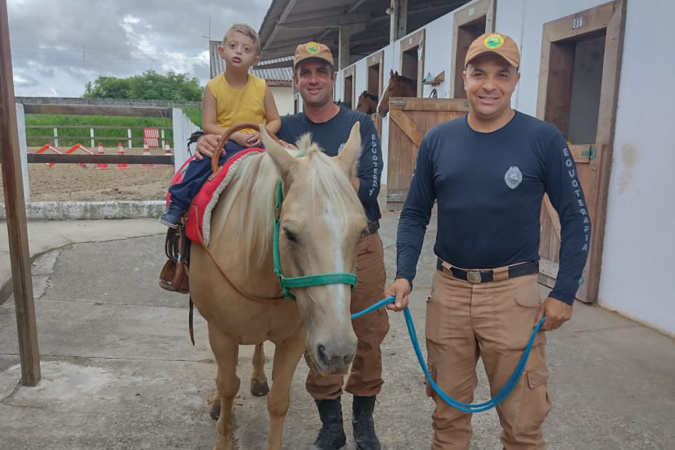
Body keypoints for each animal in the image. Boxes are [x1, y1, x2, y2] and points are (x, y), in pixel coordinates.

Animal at [190, 123, 370, 450]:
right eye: (289, 233)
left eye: (361, 232)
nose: (337, 352)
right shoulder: (220, 333)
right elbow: (228, 385)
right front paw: (224, 431)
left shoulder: (295, 341)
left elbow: (278, 401)